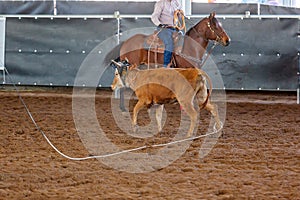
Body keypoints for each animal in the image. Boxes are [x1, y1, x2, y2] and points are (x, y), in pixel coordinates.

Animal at [3, 66, 221, 162]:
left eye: (116, 74)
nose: (111, 85)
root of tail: (197, 71)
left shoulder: (144, 100)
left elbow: (134, 110)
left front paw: (134, 127)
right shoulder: (157, 103)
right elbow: (158, 118)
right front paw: (158, 133)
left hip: (186, 99)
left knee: (194, 115)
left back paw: (189, 135)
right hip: (201, 96)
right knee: (214, 108)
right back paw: (217, 128)